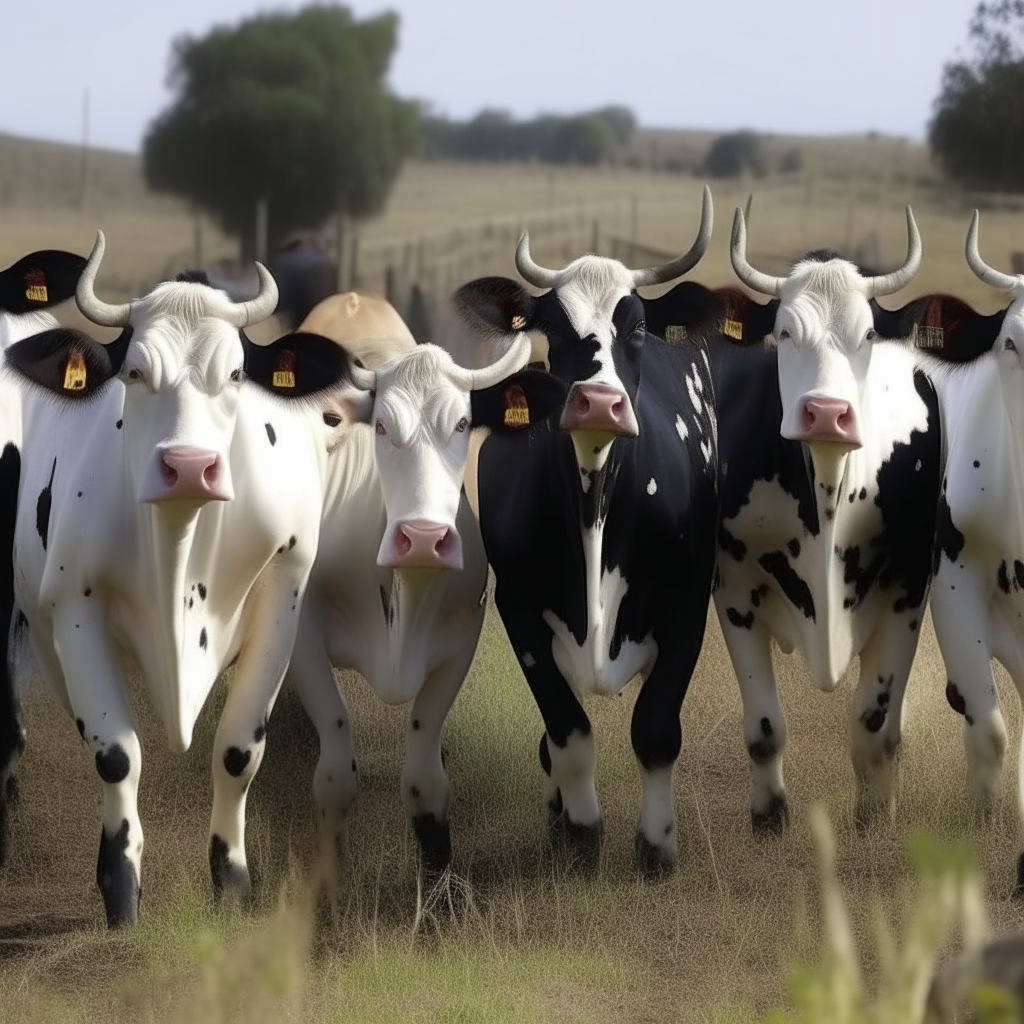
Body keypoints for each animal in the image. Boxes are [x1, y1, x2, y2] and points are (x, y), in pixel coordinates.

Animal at [3, 234, 364, 929]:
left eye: (235, 375)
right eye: (135, 373)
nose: (189, 466)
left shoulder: (282, 594)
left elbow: (237, 751)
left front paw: (234, 884)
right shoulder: (75, 609)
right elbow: (115, 752)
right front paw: (121, 891)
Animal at [286, 294, 561, 880]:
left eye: (462, 423)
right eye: (381, 427)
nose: (423, 539)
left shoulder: (458, 641)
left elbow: (425, 781)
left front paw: (439, 885)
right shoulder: (304, 640)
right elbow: (334, 777)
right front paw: (332, 879)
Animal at [452, 188, 724, 876]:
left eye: (637, 327)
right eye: (552, 328)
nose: (598, 402)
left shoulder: (689, 600)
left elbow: (656, 728)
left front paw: (656, 846)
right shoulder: (518, 607)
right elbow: (567, 731)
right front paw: (579, 833)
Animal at [643, 205, 937, 831]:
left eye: (867, 333)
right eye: (783, 332)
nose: (825, 413)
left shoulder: (909, 589)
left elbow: (874, 726)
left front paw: (875, 817)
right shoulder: (734, 592)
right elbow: (764, 727)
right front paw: (769, 815)